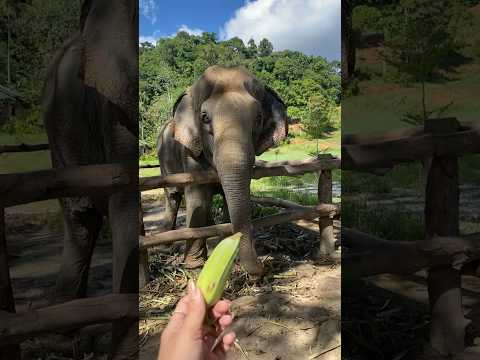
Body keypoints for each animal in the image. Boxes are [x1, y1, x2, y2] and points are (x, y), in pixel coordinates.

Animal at [158, 65, 286, 276]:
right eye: (204, 117)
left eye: (258, 118)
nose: (264, 266)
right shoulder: (191, 152)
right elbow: (198, 200)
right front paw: (195, 266)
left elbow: (229, 199)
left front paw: (227, 254)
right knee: (173, 196)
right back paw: (165, 246)